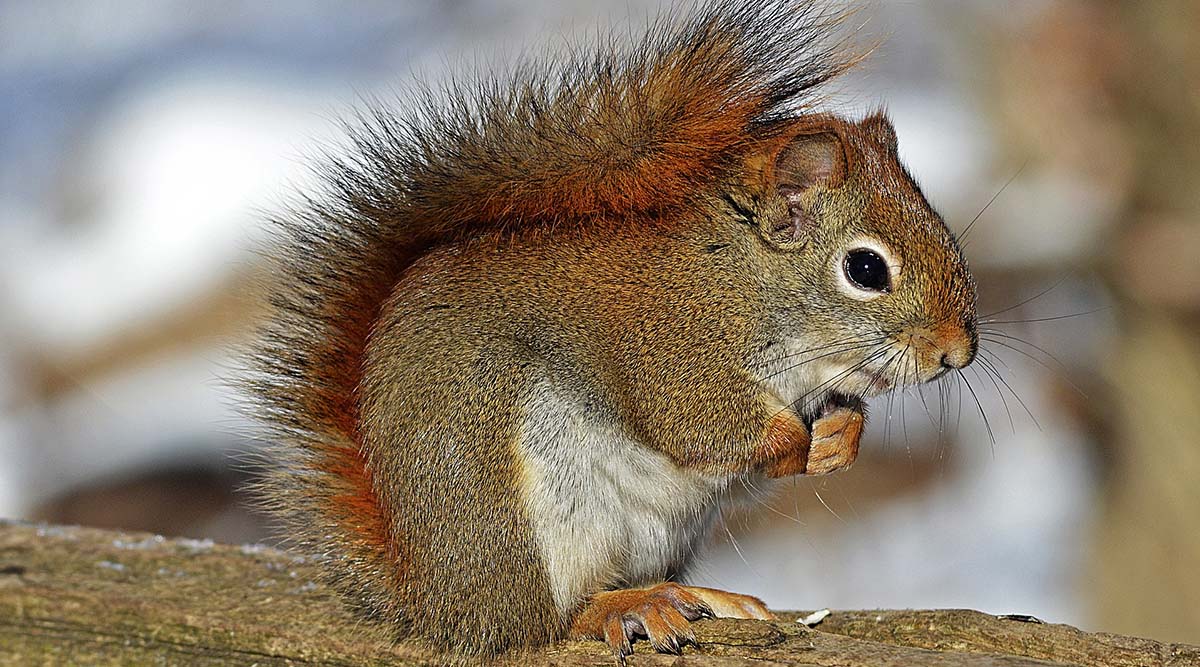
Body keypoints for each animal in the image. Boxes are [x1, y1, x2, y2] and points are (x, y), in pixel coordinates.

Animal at [244, 0, 978, 662]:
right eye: (865, 268)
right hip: (525, 516)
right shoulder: (671, 347)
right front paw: (797, 442)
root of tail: (433, 599)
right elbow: (699, 424)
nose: (958, 352)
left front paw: (841, 437)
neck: (744, 279)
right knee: (545, 622)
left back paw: (700, 597)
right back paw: (625, 607)